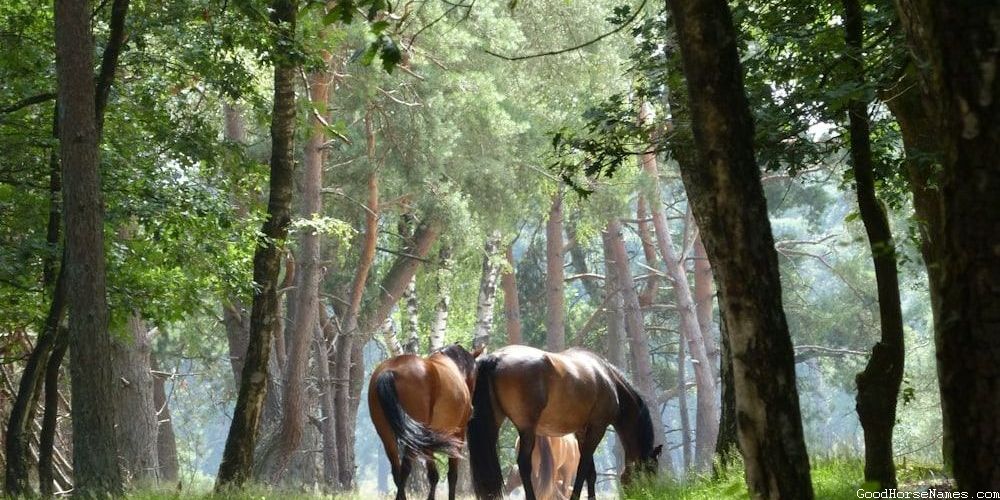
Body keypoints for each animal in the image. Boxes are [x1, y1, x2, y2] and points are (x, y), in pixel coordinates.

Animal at [368, 343, 484, 500]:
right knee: (405, 470)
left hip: (387, 435)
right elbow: (452, 475)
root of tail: (391, 370)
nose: (471, 409)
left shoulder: (428, 438)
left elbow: (433, 475)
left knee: (397, 472)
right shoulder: (458, 434)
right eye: (476, 373)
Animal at [468, 345, 662, 500]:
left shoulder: (582, 432)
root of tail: (497, 357)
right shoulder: (597, 428)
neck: (609, 379)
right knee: (524, 465)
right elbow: (583, 468)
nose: (650, 494)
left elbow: (590, 472)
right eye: (651, 471)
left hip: (495, 425)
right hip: (527, 430)